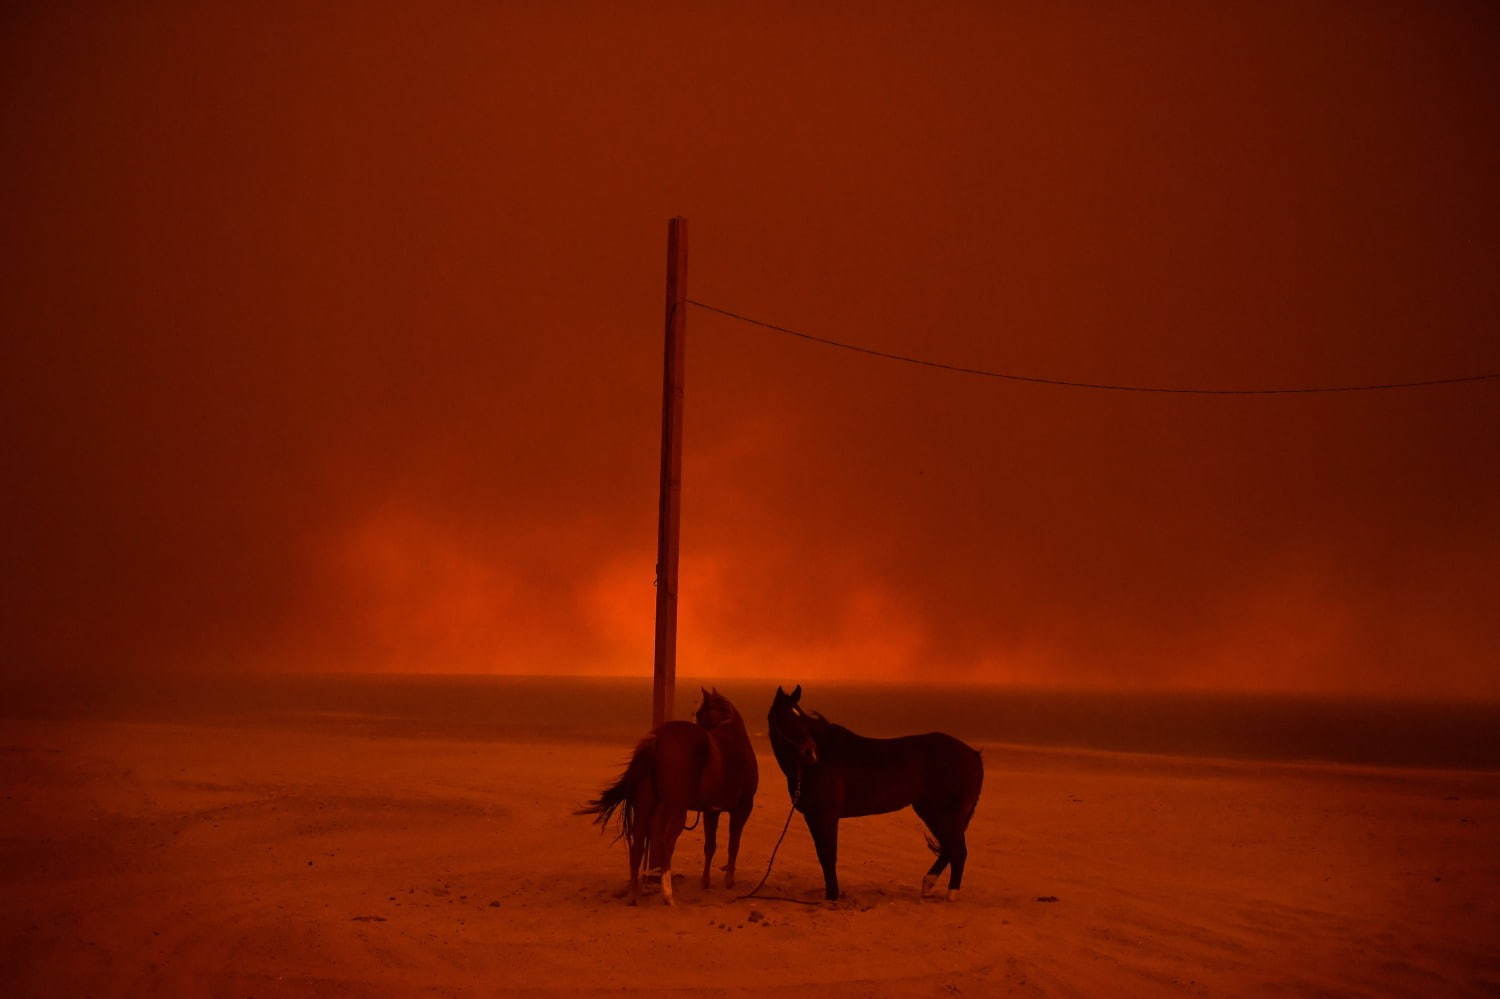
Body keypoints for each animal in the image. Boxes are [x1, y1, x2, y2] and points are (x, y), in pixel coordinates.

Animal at [579, 684, 756, 900]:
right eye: (698, 714)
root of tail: (658, 737)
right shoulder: (742, 809)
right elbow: (733, 844)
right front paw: (728, 881)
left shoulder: (711, 811)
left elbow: (710, 846)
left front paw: (706, 881)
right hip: (676, 808)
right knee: (667, 842)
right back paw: (667, 893)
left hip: (645, 805)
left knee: (638, 844)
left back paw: (634, 894)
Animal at [774, 681, 984, 900]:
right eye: (786, 719)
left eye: (802, 720)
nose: (811, 753)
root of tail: (973, 755)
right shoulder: (814, 817)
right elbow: (824, 854)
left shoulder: (825, 816)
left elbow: (827, 855)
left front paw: (832, 895)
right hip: (933, 812)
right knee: (951, 848)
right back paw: (928, 884)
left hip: (942, 813)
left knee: (957, 850)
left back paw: (950, 894)